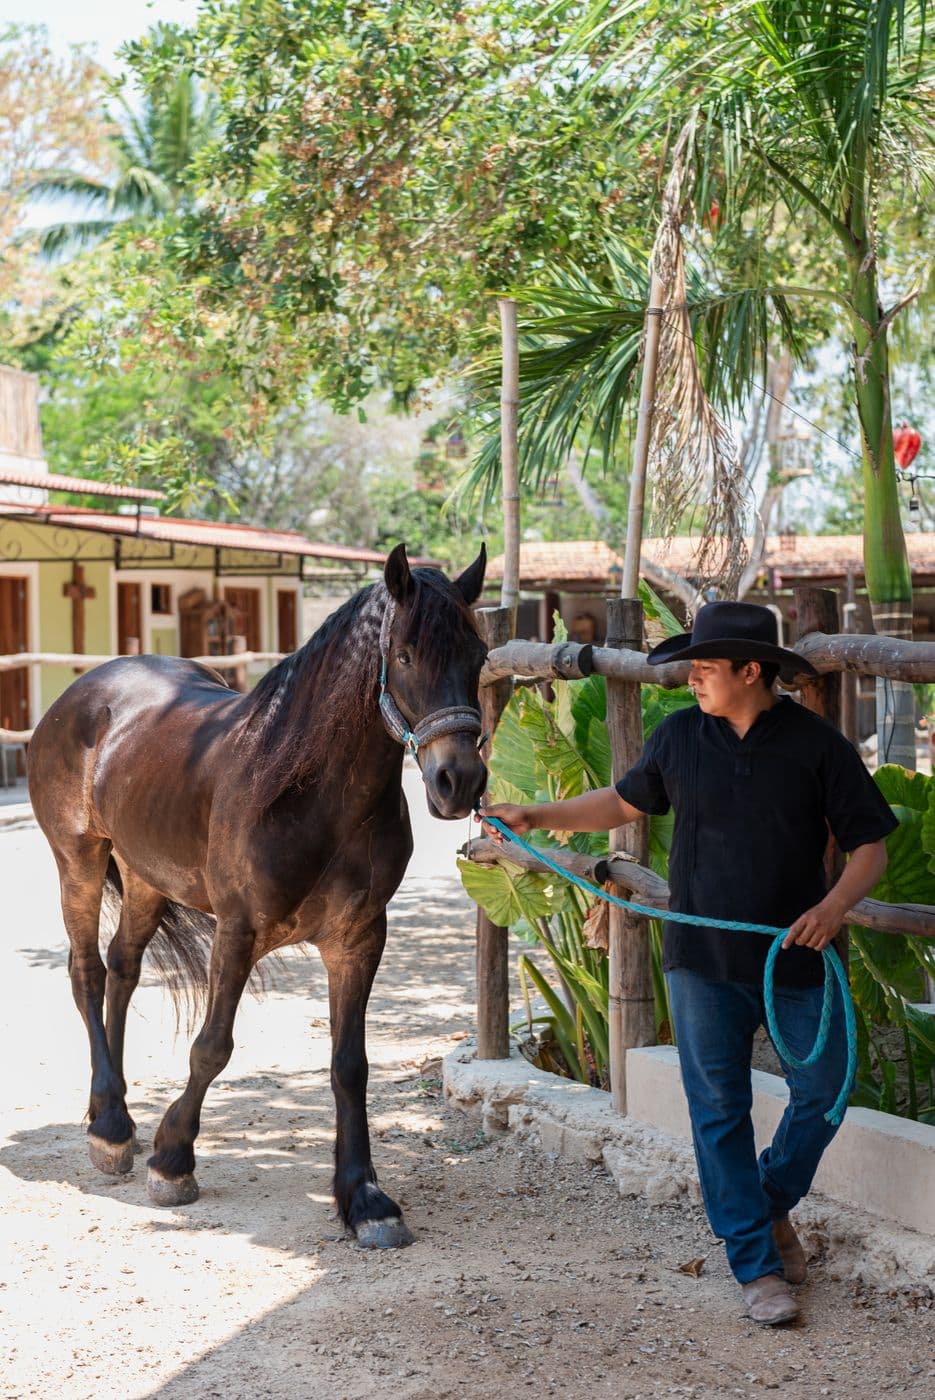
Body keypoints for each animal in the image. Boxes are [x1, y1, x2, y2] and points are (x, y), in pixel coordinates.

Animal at [27, 543, 488, 1248]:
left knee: (122, 969)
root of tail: (80, 693)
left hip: (145, 877)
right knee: (87, 971)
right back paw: (110, 1131)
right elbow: (212, 1047)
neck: (307, 789)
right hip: (78, 860)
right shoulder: (238, 929)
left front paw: (364, 1198)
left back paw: (111, 1109)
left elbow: (349, 1065)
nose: (457, 781)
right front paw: (172, 1159)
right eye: (406, 655)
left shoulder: (359, 938)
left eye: (481, 655)